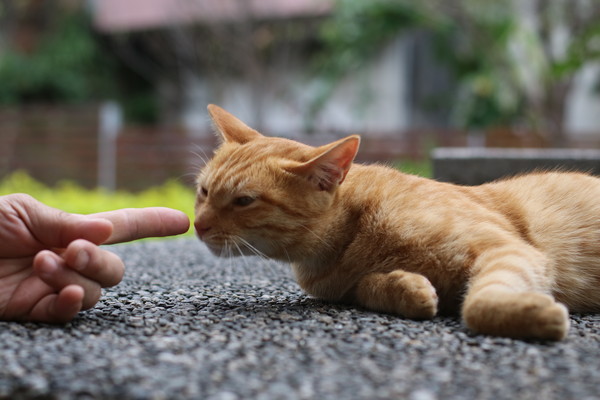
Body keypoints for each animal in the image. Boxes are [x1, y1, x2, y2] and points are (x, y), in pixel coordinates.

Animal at [193, 104, 600, 340]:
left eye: (244, 201)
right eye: (204, 191)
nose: (198, 225)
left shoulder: (507, 249)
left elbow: (476, 304)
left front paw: (534, 315)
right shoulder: (347, 287)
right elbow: (367, 286)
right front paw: (408, 288)